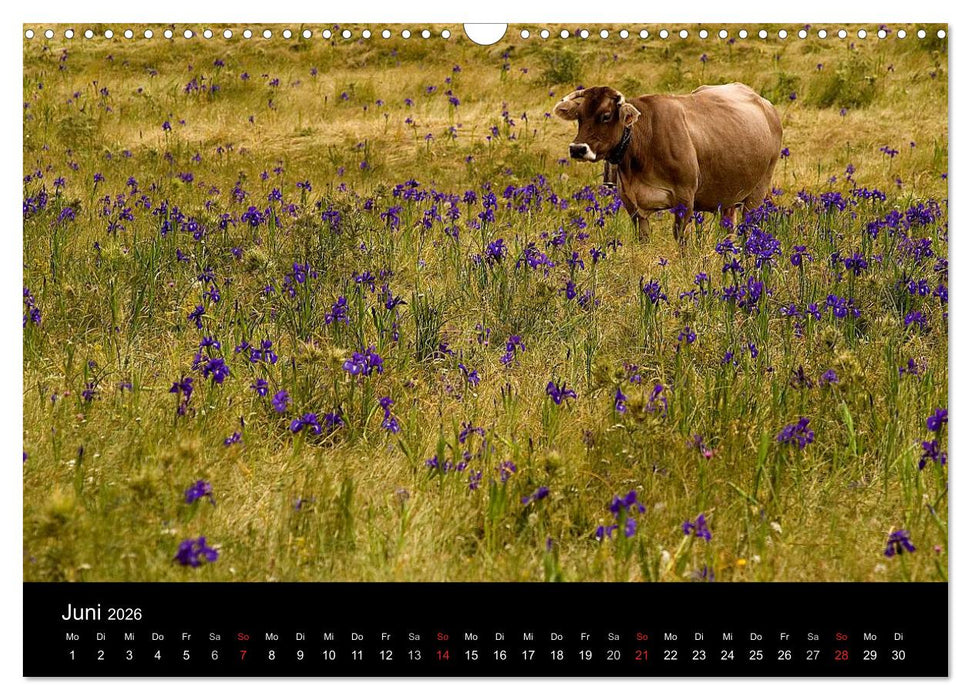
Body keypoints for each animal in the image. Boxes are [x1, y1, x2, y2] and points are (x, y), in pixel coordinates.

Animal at [554, 82, 783, 241]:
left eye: (606, 115)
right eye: (580, 116)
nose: (577, 149)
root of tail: (767, 106)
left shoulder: (685, 199)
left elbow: (681, 239)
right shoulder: (631, 203)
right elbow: (643, 239)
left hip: (758, 191)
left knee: (748, 230)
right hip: (727, 196)